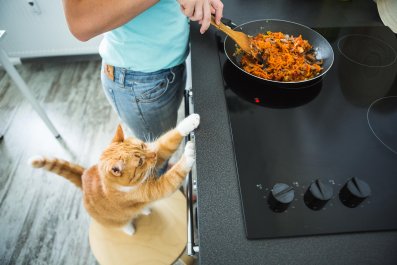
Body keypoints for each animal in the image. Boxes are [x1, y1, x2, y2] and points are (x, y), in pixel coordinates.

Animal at [29, 113, 200, 233]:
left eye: (143, 146)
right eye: (140, 162)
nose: (154, 155)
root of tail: (83, 176)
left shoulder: (159, 151)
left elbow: (167, 142)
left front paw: (189, 122)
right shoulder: (155, 189)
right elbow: (174, 175)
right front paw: (189, 153)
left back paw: (144, 209)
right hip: (115, 221)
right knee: (122, 224)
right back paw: (129, 229)